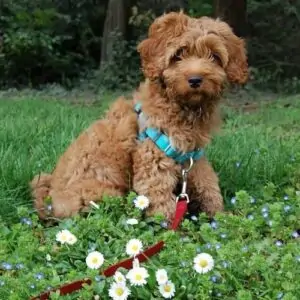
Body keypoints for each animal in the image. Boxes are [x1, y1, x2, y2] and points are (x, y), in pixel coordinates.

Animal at [29, 11, 248, 221]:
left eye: (214, 56)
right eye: (178, 54)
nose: (195, 79)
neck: (182, 108)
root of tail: (49, 202)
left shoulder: (193, 157)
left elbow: (208, 183)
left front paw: (221, 216)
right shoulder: (154, 159)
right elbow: (161, 200)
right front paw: (173, 228)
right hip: (104, 194)